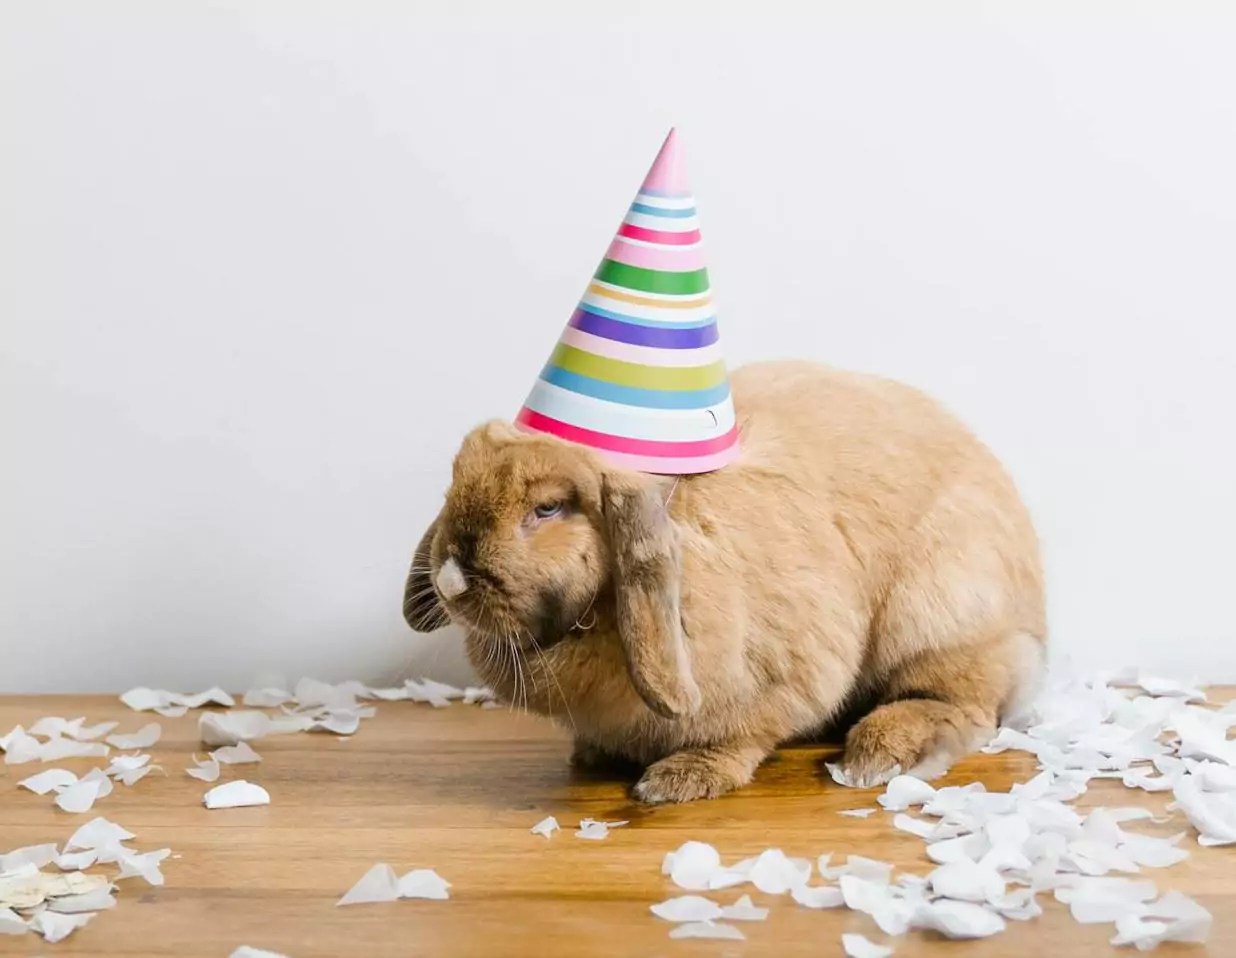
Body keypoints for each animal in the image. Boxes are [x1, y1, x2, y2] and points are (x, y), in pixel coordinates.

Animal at [403, 360, 1045, 803]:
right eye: (455, 481)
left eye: (548, 508)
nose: (450, 578)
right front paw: (595, 754)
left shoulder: (784, 677)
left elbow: (740, 735)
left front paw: (679, 780)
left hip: (941, 619)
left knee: (966, 706)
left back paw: (878, 755)